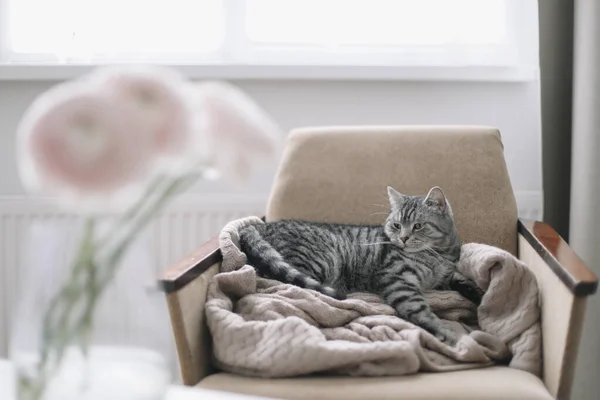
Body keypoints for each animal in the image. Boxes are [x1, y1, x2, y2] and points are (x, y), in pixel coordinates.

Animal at [239, 186, 482, 342]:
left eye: (418, 226)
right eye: (396, 225)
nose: (403, 238)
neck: (439, 255)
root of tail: (260, 226)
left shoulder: (444, 279)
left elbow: (462, 281)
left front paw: (479, 294)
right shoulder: (397, 277)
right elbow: (417, 306)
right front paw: (439, 329)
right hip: (320, 259)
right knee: (287, 285)